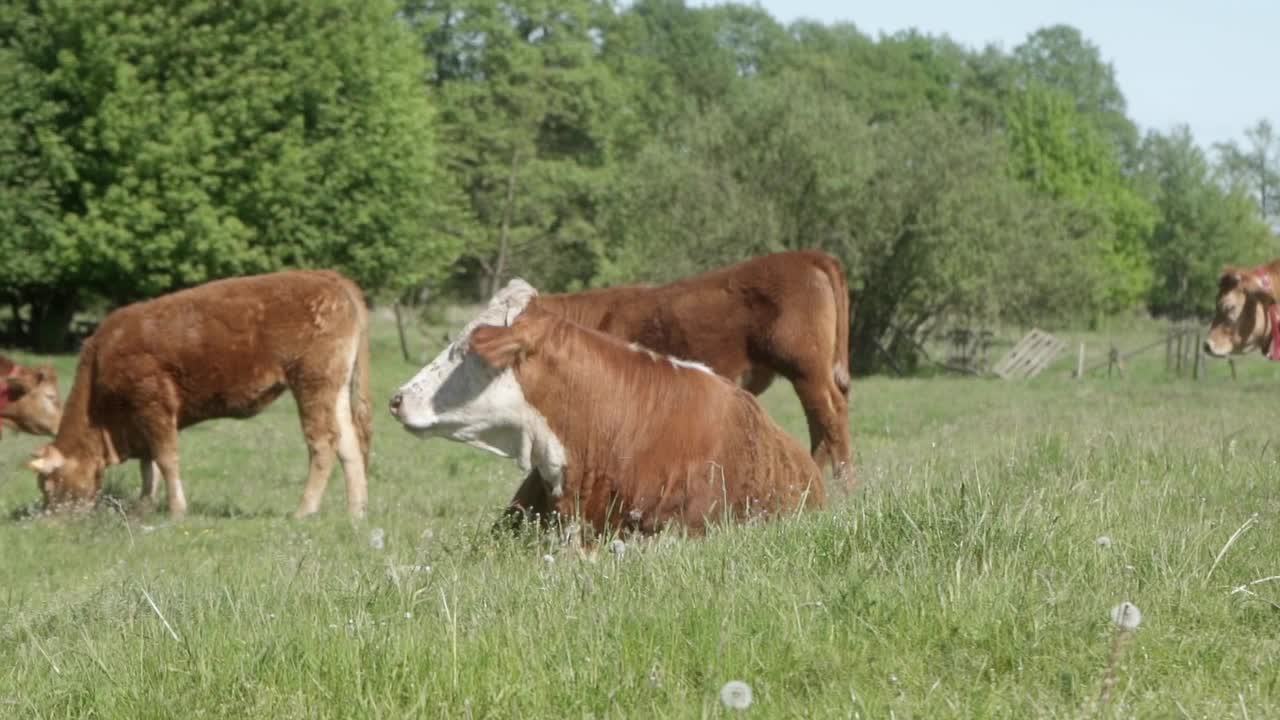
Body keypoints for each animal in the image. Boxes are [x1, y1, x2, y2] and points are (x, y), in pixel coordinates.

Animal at [27, 269, 373, 515]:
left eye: (49, 484)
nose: (51, 519)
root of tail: (327, 277)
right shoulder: (141, 421)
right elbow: (148, 466)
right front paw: (144, 507)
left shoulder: (152, 403)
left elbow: (165, 459)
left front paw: (176, 511)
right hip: (335, 390)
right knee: (349, 444)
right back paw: (356, 513)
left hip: (313, 384)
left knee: (323, 444)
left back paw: (304, 510)